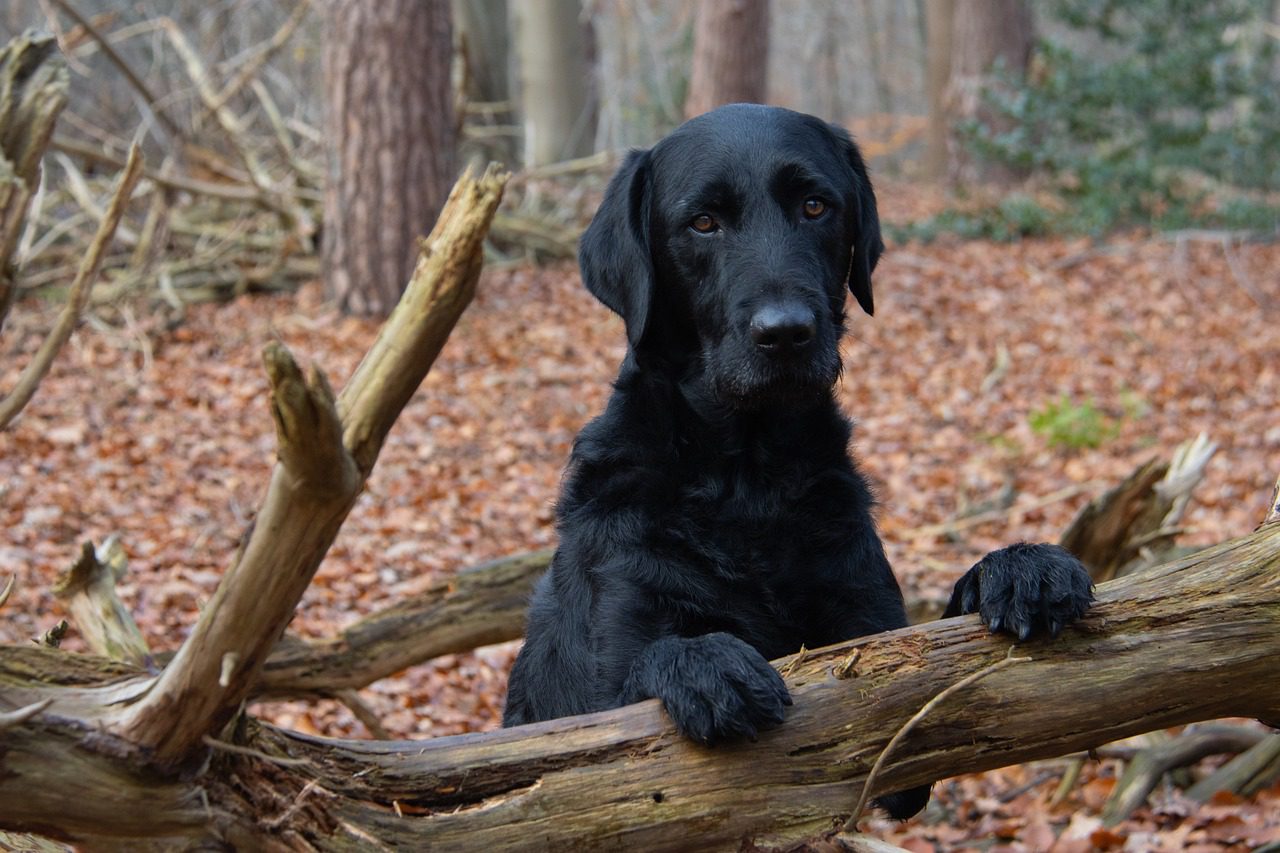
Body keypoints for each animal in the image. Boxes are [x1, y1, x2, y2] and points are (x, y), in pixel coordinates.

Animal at [499, 106, 1090, 819]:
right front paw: (704, 662)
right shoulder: (601, 693)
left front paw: (1020, 567)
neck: (749, 479)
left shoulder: (873, 640)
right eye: (703, 222)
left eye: (815, 206)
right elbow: (638, 681)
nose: (786, 333)